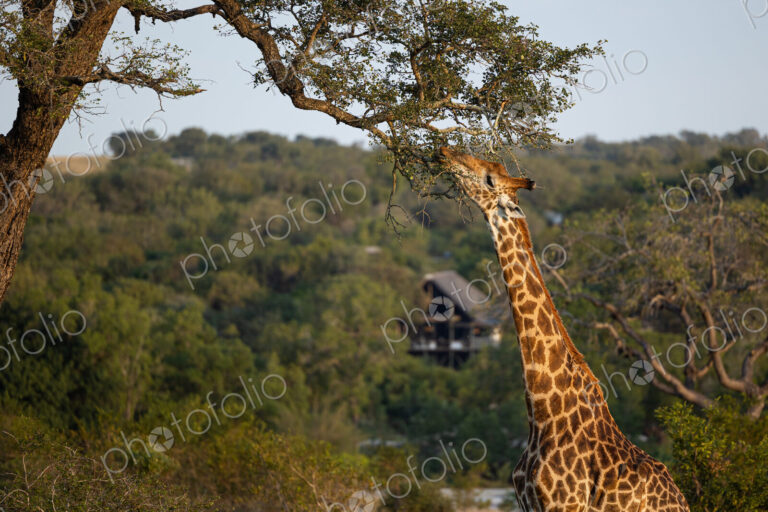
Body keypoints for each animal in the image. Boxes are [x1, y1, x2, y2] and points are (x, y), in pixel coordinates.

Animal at [438, 147, 689, 512]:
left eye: (489, 177)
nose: (445, 152)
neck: (542, 413)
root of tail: (681, 499)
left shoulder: (563, 504)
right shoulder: (526, 502)